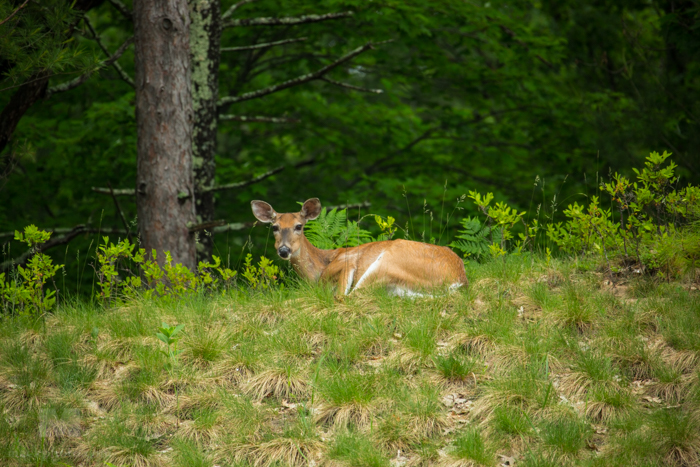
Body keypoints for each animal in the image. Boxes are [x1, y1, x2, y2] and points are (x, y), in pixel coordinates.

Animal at [249, 197, 468, 296]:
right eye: (274, 227)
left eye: (298, 226)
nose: (284, 250)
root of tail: (458, 280)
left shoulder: (348, 260)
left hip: (388, 261)